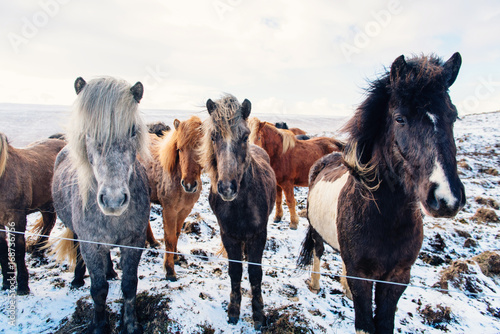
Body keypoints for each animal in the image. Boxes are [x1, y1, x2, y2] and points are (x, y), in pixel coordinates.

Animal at [0, 133, 65, 294]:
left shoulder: (17, 219)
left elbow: (18, 250)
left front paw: (23, 286)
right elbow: (3, 250)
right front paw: (6, 283)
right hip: (45, 203)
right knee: (49, 222)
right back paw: (38, 248)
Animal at [53, 76, 150, 334]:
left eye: (132, 130)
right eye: (88, 132)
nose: (114, 200)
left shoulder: (134, 241)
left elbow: (129, 285)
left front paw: (131, 324)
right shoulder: (90, 244)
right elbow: (98, 290)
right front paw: (98, 326)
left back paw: (110, 271)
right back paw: (77, 279)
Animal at [141, 116, 203, 280]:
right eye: (179, 149)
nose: (189, 184)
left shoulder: (184, 210)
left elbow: (176, 234)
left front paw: (175, 257)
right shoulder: (169, 211)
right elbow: (169, 238)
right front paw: (169, 270)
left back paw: (153, 242)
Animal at [200, 94, 278, 328]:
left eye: (245, 136)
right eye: (214, 136)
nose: (227, 187)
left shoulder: (259, 235)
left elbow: (255, 273)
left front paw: (259, 314)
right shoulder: (228, 235)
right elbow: (235, 272)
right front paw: (234, 310)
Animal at [296, 52, 464, 334]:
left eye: (453, 116)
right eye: (399, 118)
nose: (446, 199)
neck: (385, 218)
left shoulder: (398, 277)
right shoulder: (362, 276)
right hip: (317, 231)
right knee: (318, 252)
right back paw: (316, 285)